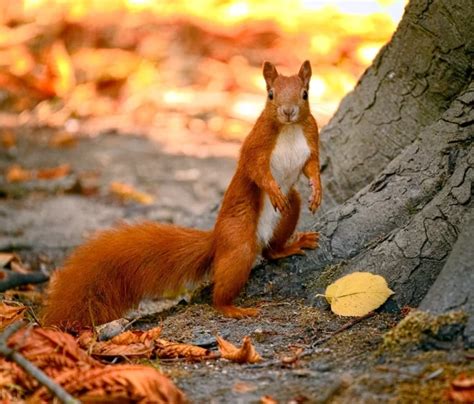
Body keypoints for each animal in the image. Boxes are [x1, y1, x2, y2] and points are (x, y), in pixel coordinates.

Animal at [41, 60, 322, 332]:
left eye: (305, 94)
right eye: (270, 94)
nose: (288, 112)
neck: (289, 129)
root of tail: (216, 239)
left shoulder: (311, 139)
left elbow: (312, 167)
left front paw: (317, 191)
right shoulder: (255, 145)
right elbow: (256, 171)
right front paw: (273, 190)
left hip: (288, 212)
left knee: (273, 248)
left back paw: (290, 245)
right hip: (238, 238)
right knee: (226, 284)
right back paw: (231, 308)